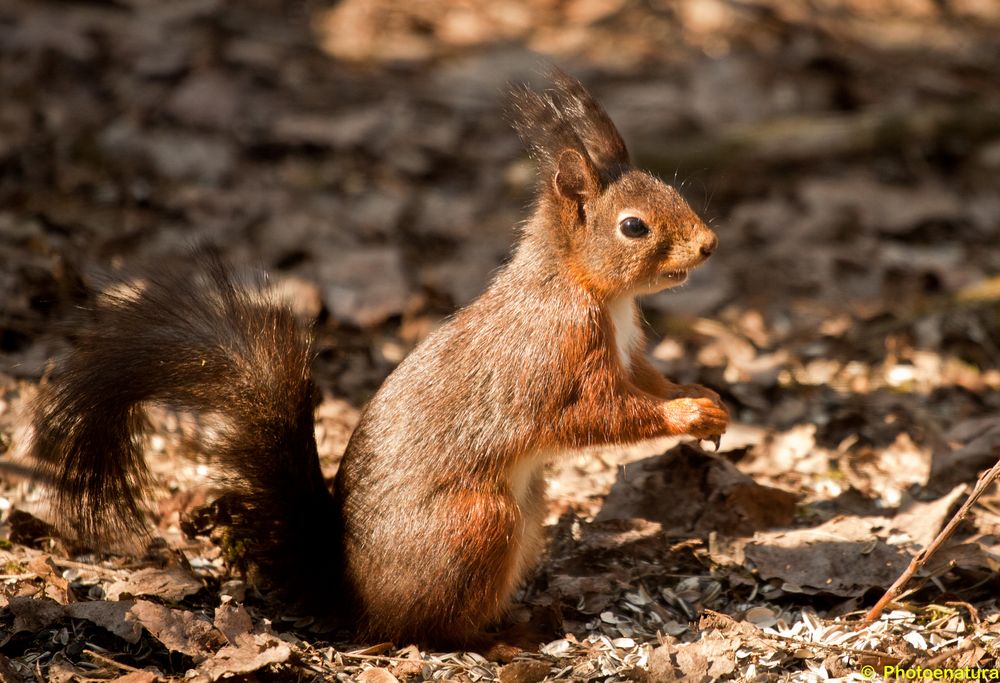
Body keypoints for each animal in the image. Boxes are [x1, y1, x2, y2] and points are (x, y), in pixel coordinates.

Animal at [23, 72, 728, 648]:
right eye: (633, 226)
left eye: (670, 190)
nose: (709, 244)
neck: (587, 289)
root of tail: (357, 602)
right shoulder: (555, 354)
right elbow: (594, 415)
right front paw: (686, 416)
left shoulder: (628, 352)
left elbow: (648, 380)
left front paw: (707, 402)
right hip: (480, 522)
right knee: (428, 630)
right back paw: (502, 639)